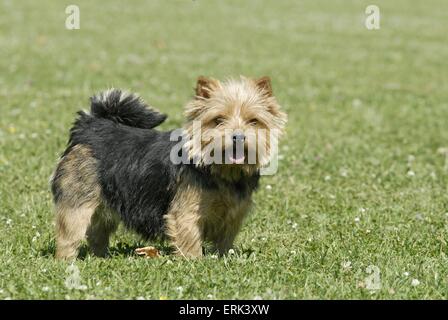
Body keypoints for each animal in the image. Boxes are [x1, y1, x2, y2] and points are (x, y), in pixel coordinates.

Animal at [50, 77, 286, 260]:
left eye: (253, 121)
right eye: (218, 120)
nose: (238, 136)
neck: (221, 171)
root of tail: (90, 127)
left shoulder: (233, 215)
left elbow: (224, 243)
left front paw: (222, 258)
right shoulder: (186, 213)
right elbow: (191, 241)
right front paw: (195, 263)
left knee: (98, 232)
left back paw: (101, 257)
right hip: (78, 202)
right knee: (69, 234)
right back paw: (66, 261)